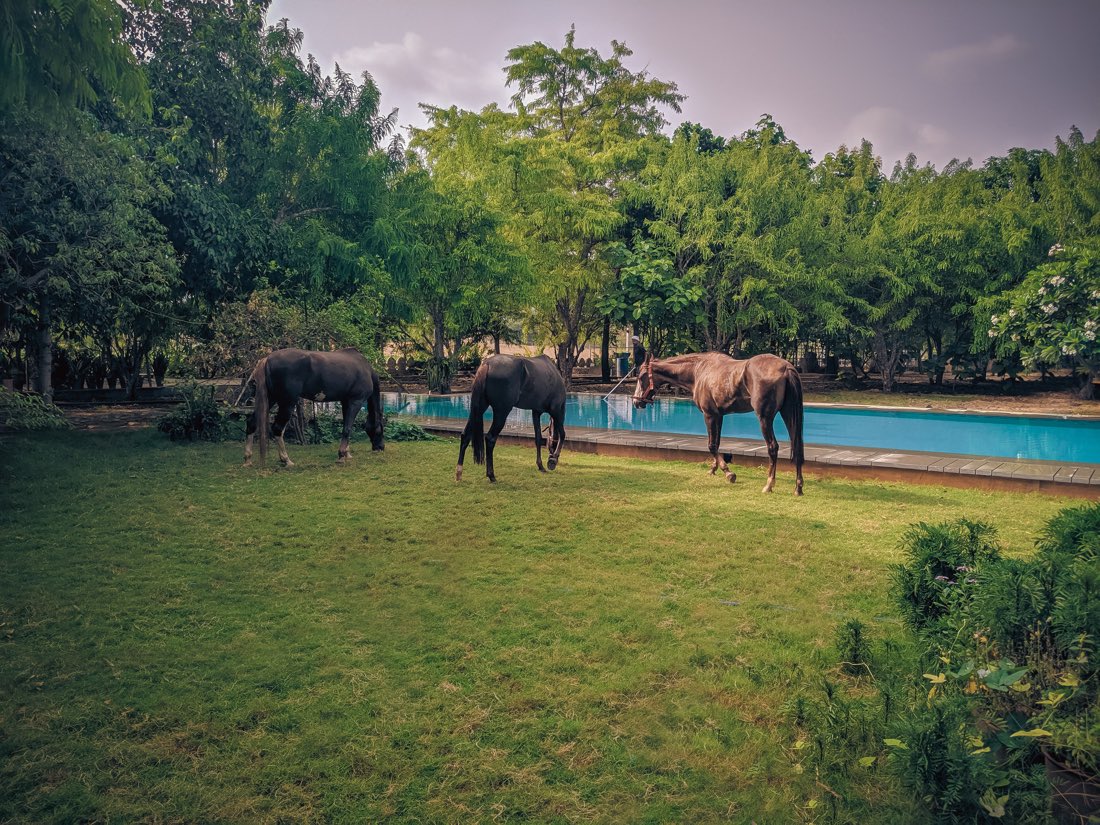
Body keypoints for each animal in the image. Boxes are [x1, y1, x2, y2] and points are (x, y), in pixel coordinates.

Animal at [244, 347, 385, 467]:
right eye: (381, 429)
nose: (381, 448)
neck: (365, 369)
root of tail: (267, 358)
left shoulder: (346, 402)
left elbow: (345, 426)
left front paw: (346, 453)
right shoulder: (356, 402)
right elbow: (347, 428)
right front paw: (341, 456)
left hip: (271, 399)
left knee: (252, 423)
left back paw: (247, 459)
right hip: (287, 402)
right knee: (277, 428)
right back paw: (286, 460)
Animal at [456, 354, 567, 482]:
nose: (550, 459)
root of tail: (487, 364)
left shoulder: (536, 412)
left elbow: (538, 438)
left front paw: (541, 465)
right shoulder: (557, 410)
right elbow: (562, 434)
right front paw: (553, 460)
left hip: (478, 409)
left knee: (465, 435)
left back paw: (459, 473)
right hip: (502, 413)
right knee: (490, 439)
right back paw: (491, 475)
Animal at [632, 351, 805, 495]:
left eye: (641, 377)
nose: (636, 401)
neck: (699, 371)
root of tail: (786, 367)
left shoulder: (709, 415)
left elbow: (711, 445)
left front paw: (728, 473)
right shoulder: (718, 416)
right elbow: (717, 443)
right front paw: (714, 468)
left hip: (764, 418)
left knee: (773, 447)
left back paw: (769, 484)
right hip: (787, 413)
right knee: (797, 446)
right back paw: (798, 487)